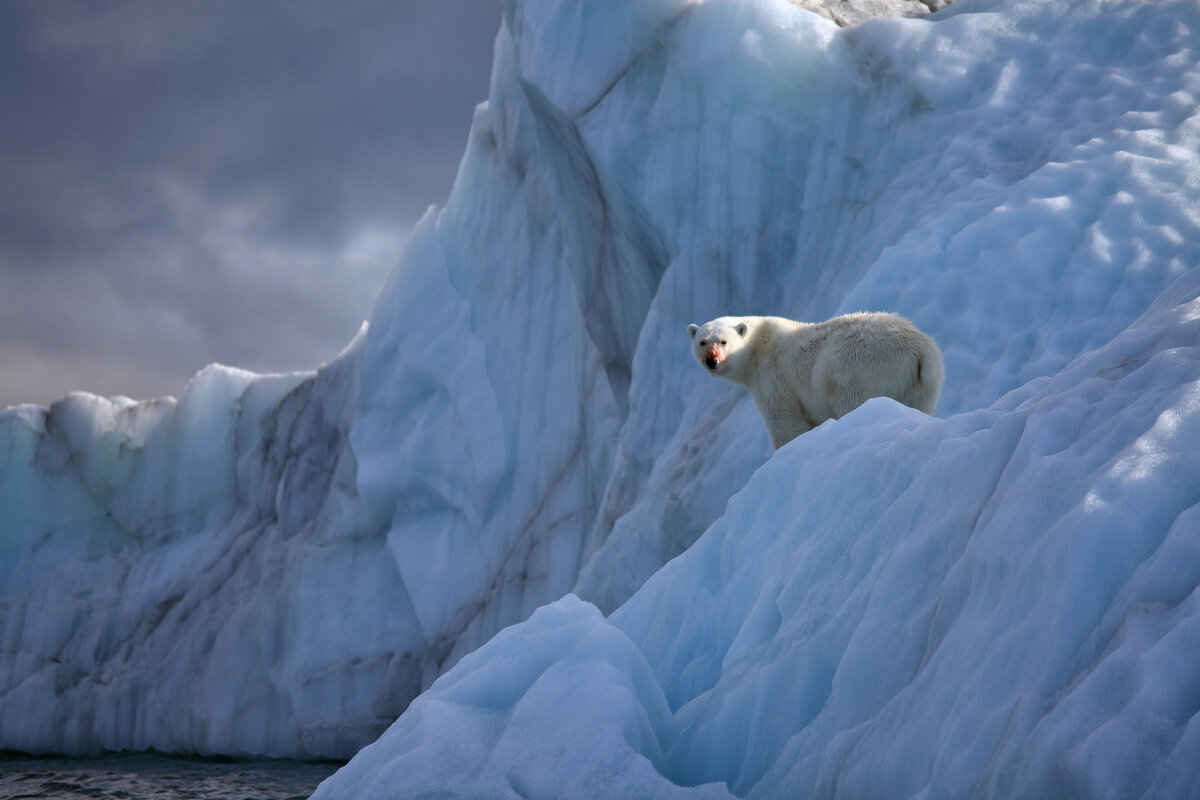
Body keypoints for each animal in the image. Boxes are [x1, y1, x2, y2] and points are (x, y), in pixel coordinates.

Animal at [691, 314, 940, 450]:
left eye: (723, 341)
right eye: (702, 342)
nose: (711, 360)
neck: (757, 344)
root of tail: (918, 352)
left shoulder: (772, 375)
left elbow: (785, 422)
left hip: (853, 367)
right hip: (923, 384)